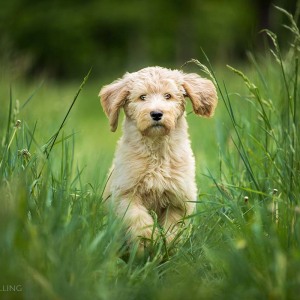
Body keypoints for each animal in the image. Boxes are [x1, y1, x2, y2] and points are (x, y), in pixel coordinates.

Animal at [99, 67, 217, 250]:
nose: (156, 114)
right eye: (142, 97)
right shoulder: (125, 194)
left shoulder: (179, 199)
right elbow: (138, 217)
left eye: (168, 96)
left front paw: (167, 246)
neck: (156, 153)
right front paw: (148, 239)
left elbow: (173, 227)